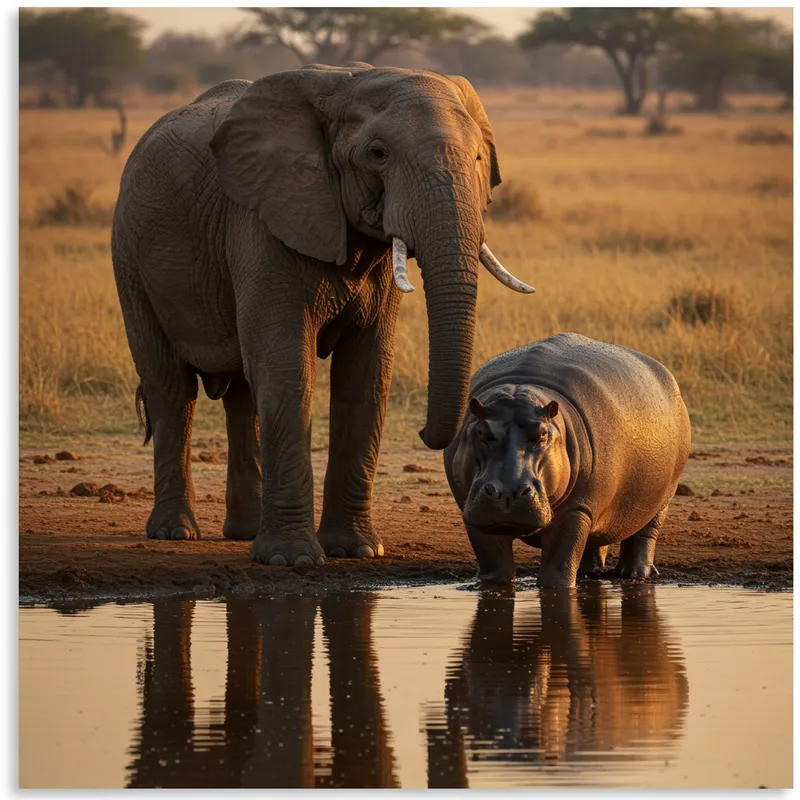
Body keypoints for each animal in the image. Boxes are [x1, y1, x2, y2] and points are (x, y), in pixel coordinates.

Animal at [111, 63, 533, 566]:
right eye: (377, 154)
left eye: (478, 158)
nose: (427, 431)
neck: (346, 84)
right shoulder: (264, 220)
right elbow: (286, 366)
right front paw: (291, 560)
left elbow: (365, 374)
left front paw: (358, 550)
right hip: (130, 257)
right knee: (171, 388)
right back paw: (177, 532)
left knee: (243, 395)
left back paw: (243, 533)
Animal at [444, 332, 691, 588]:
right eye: (480, 432)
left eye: (543, 434)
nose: (508, 493)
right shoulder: (472, 509)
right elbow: (495, 565)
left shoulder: (576, 509)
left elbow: (558, 566)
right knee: (594, 538)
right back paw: (588, 571)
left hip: (664, 494)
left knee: (645, 534)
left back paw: (635, 574)